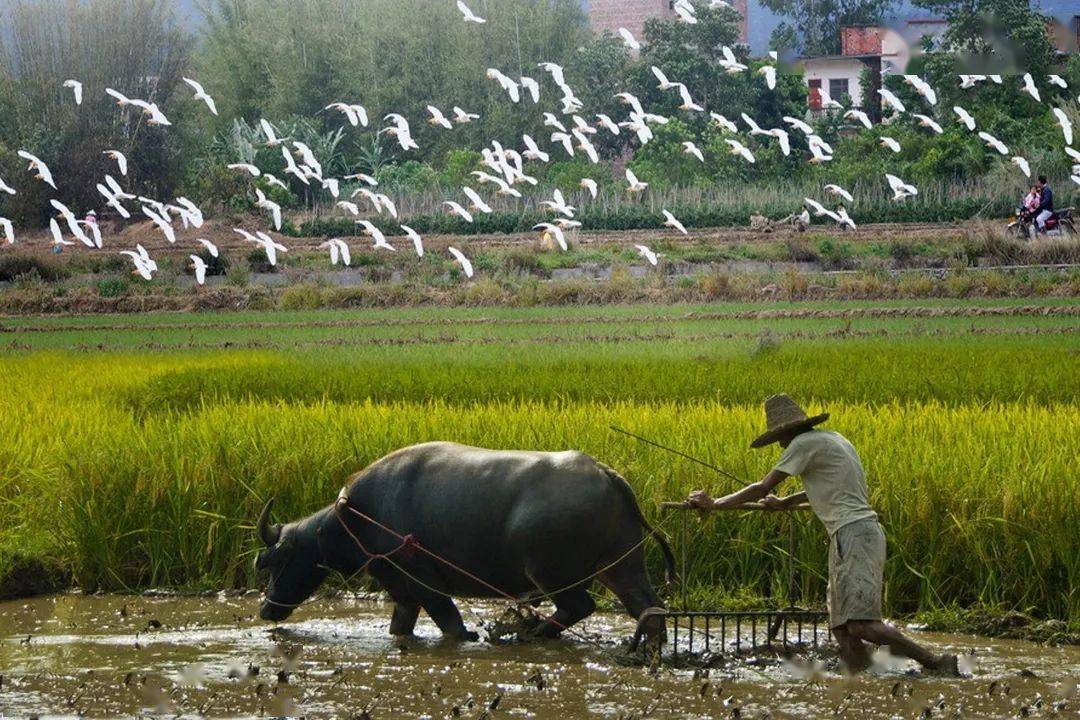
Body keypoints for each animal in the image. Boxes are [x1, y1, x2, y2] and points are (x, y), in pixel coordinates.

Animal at [254, 444, 673, 643]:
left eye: (276, 560)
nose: (266, 609)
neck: (356, 516)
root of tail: (607, 474)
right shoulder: (400, 588)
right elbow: (400, 626)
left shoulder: (424, 580)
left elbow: (452, 624)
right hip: (622, 566)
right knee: (649, 609)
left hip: (550, 572)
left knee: (578, 606)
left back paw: (532, 633)